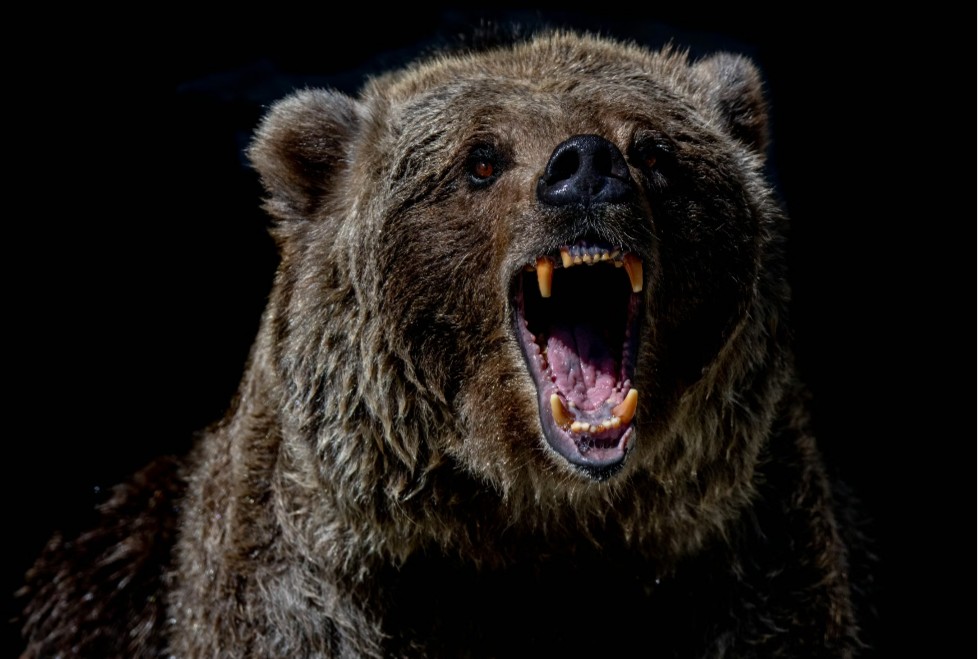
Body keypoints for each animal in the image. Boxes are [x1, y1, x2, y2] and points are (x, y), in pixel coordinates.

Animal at [17, 29, 872, 658]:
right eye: (481, 159)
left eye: (655, 150)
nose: (585, 166)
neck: (533, 526)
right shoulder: (315, 590)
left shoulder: (739, 564)